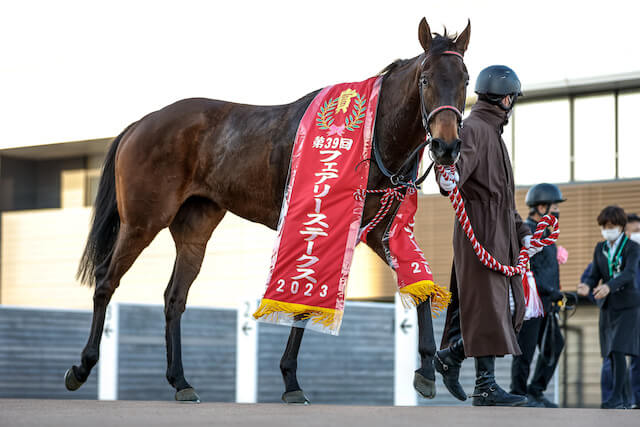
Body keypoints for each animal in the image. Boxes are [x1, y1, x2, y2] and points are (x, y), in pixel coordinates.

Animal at [63, 17, 470, 404]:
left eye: (464, 80)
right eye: (426, 79)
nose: (447, 146)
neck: (373, 135)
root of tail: (141, 122)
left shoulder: (376, 232)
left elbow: (419, 286)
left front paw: (427, 371)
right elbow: (305, 299)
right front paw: (291, 380)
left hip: (195, 227)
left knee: (174, 298)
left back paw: (181, 381)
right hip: (142, 221)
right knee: (106, 280)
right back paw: (82, 367)